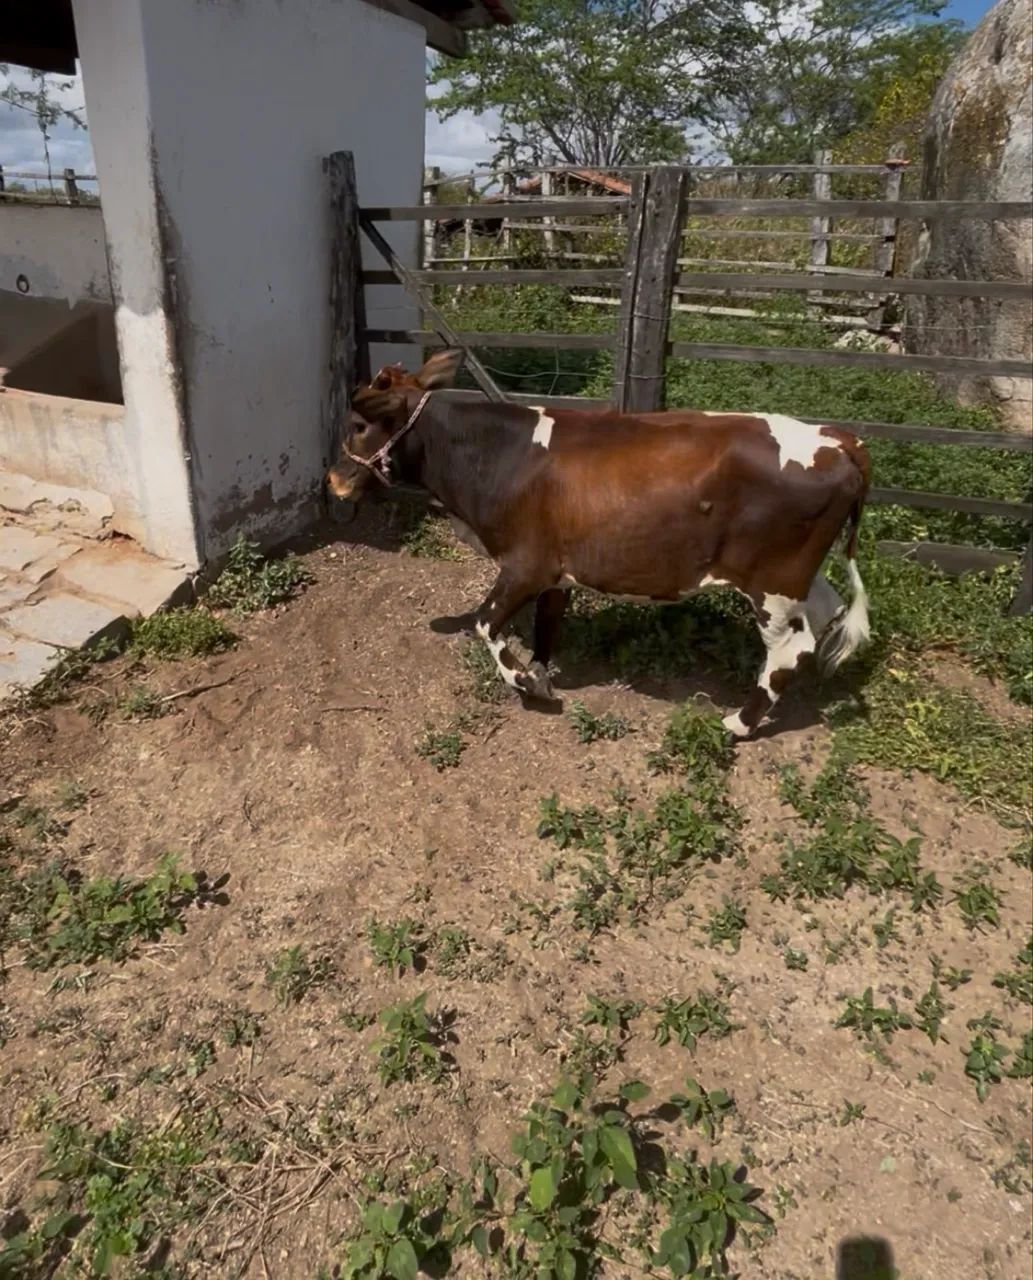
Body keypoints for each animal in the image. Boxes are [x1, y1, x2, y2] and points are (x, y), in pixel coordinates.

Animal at [326, 350, 871, 739]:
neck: (497, 457)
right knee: (824, 615)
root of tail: (840, 439)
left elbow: (484, 623)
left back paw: (738, 723)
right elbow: (546, 626)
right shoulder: (557, 569)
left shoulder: (526, 563)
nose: (333, 479)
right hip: (800, 574)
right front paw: (541, 672)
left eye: (358, 425)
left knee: (789, 649)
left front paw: (527, 683)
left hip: (771, 580)